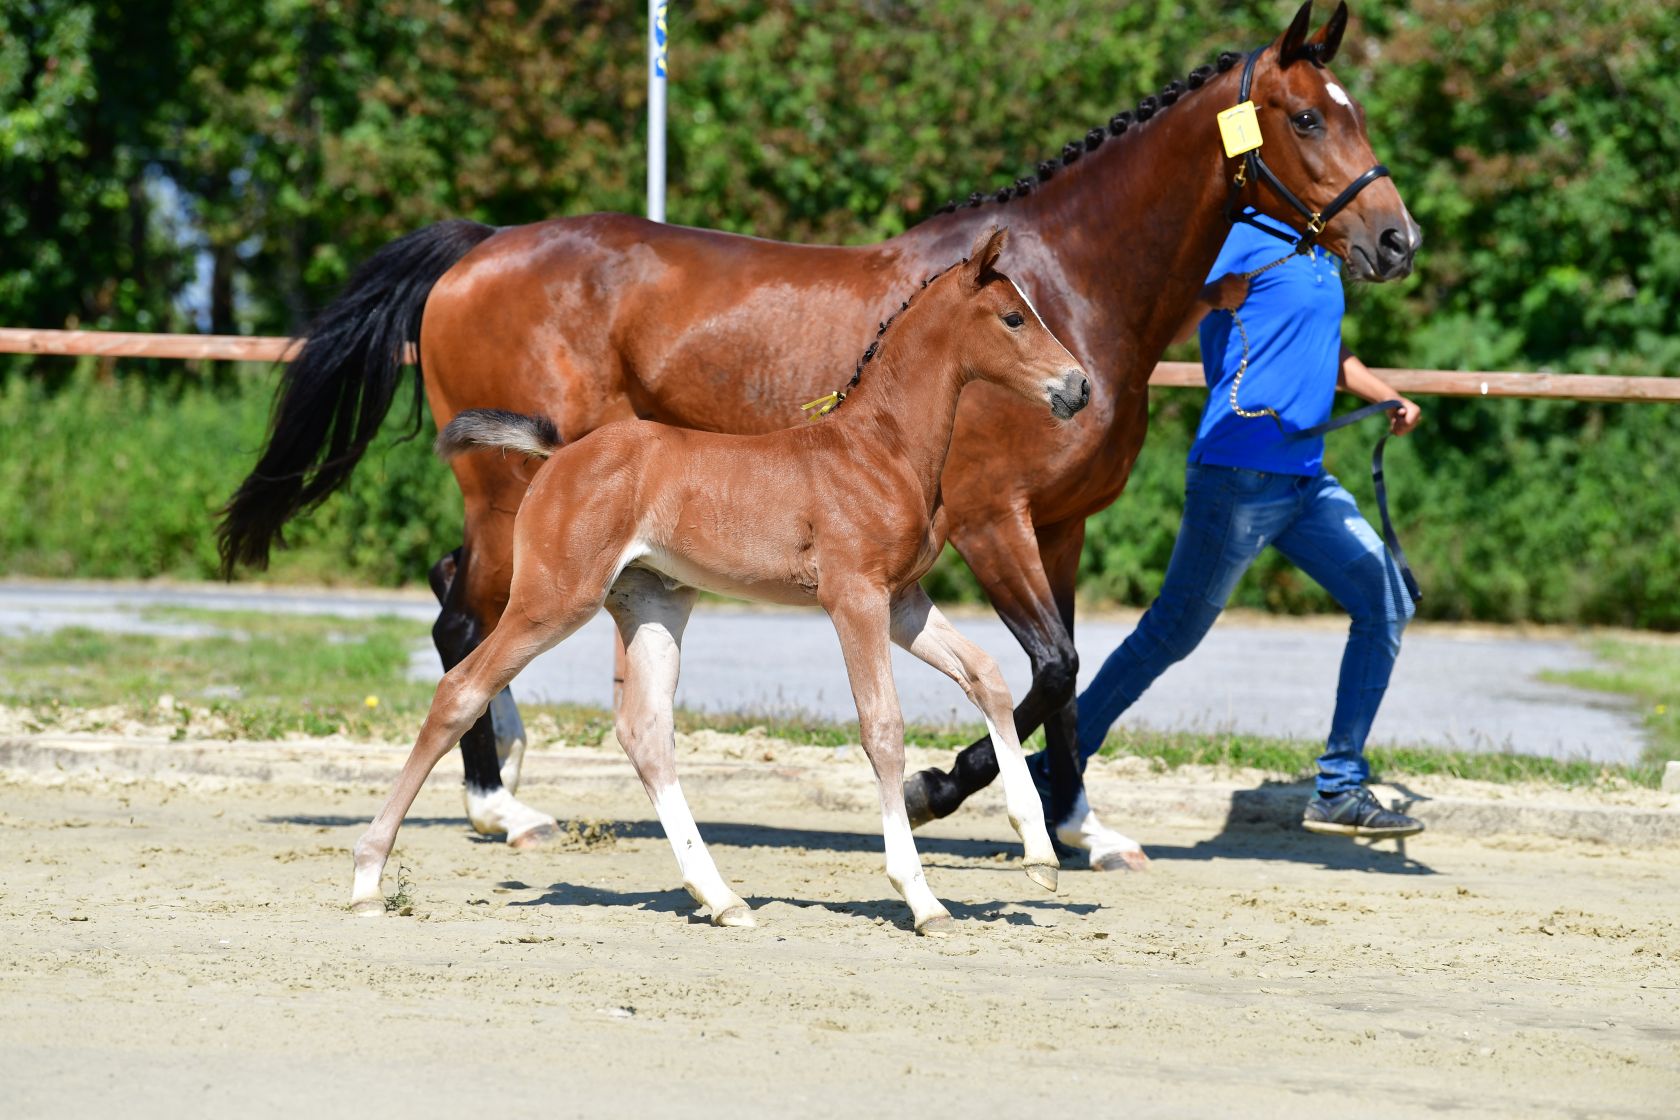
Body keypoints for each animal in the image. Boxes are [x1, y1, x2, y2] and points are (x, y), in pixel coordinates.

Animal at [351, 230, 1088, 940]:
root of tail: (559, 455)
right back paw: (369, 877)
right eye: (1014, 317)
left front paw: (1040, 857)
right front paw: (923, 898)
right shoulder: (854, 597)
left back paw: (722, 897)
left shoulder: (902, 601)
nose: (1079, 387)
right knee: (461, 689)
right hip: (551, 600)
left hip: (651, 604)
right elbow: (883, 728)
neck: (882, 450)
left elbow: (987, 676)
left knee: (646, 733)